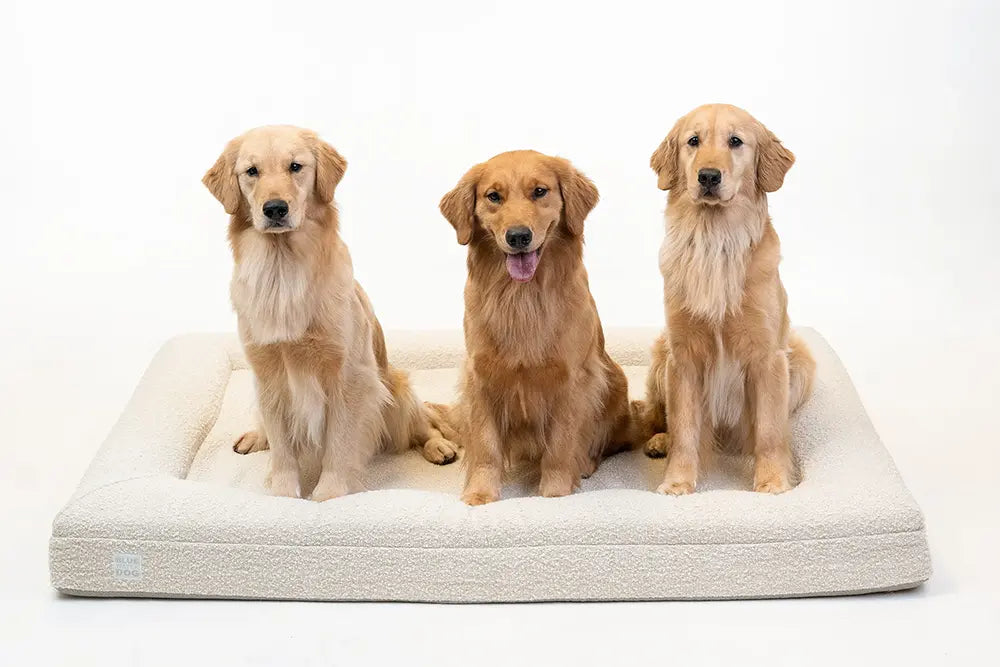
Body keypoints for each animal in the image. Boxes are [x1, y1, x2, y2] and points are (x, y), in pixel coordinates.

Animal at [436, 150, 636, 506]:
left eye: (540, 191)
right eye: (493, 196)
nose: (518, 236)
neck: (522, 297)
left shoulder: (572, 380)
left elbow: (560, 446)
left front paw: (555, 493)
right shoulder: (481, 377)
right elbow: (485, 445)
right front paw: (480, 493)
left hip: (614, 383)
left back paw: (585, 464)